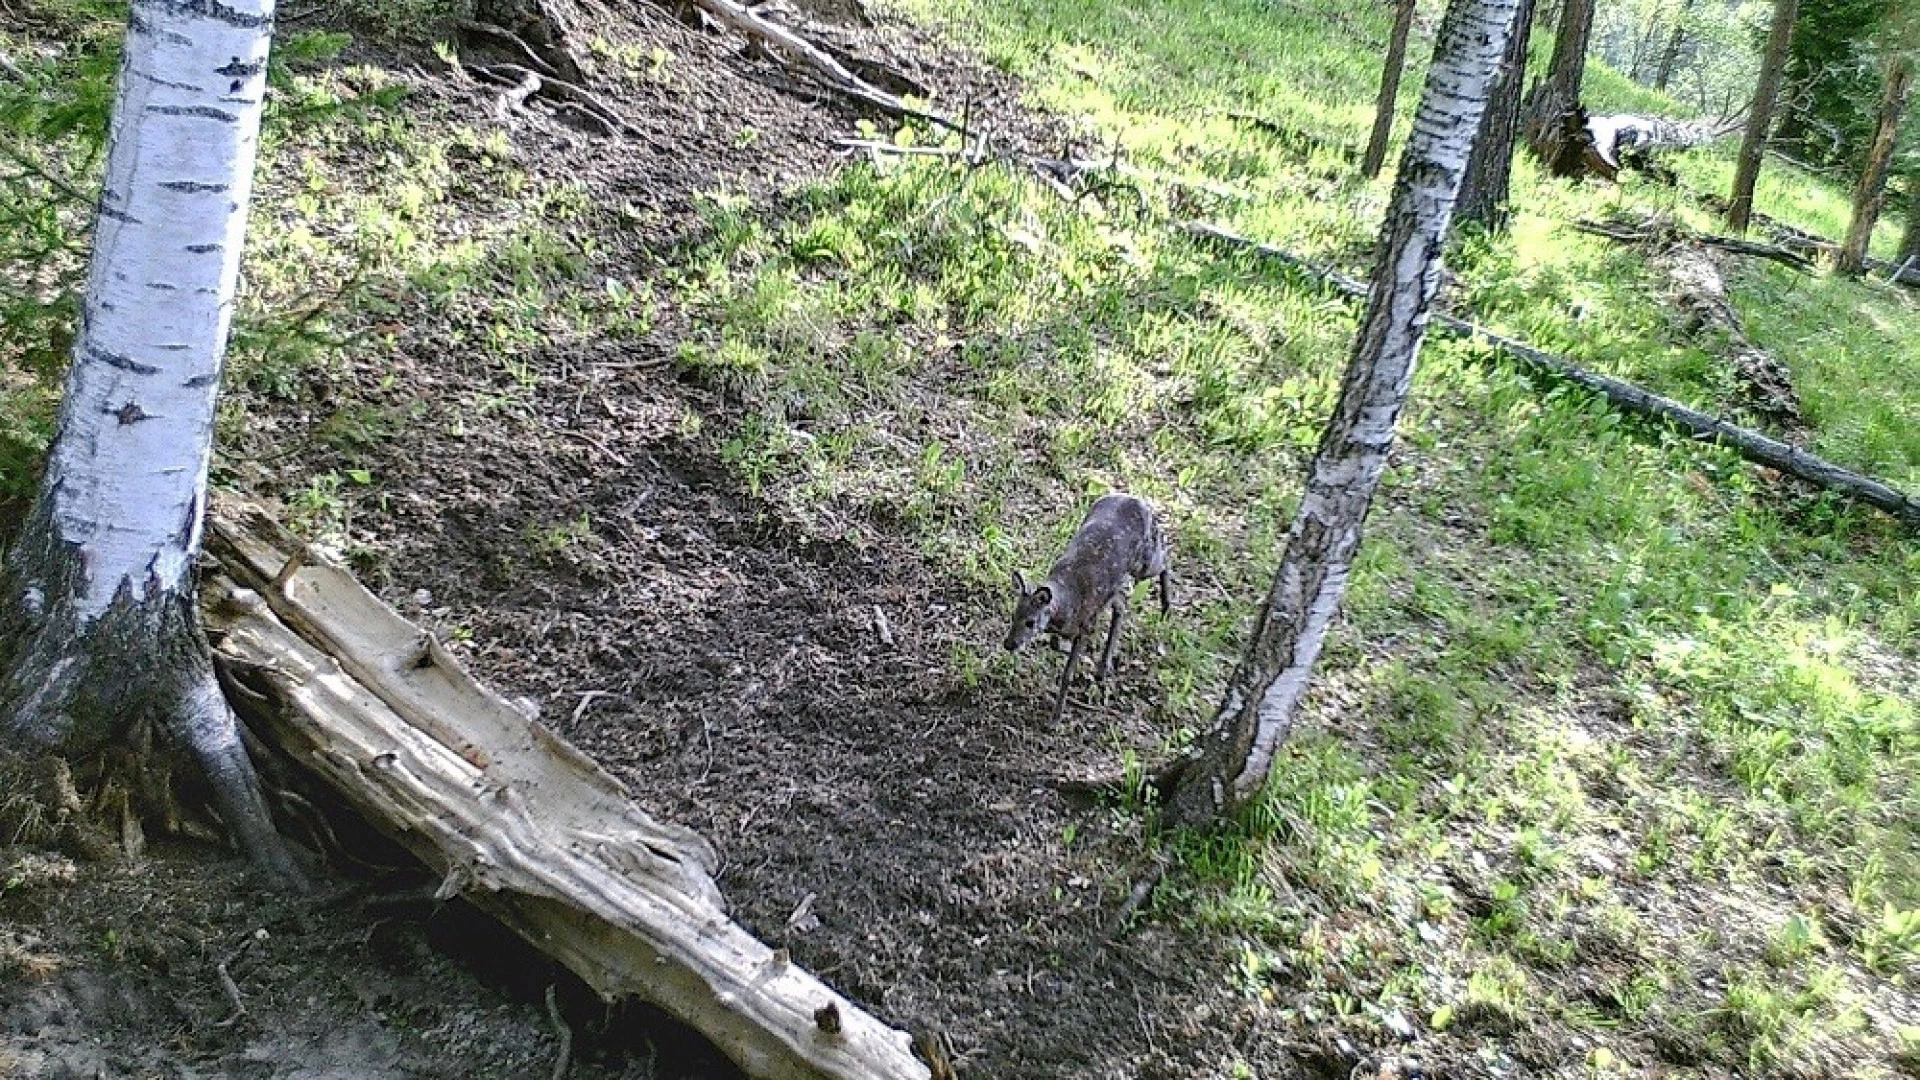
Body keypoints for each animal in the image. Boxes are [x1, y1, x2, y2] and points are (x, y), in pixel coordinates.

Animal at [1006, 495, 1167, 722]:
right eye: (1014, 615)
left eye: (1030, 622)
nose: (1009, 644)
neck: (1068, 603)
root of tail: (1138, 500)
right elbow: (1055, 643)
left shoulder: (1086, 625)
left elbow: (1067, 675)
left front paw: (1055, 719)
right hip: (1119, 582)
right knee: (1121, 605)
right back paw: (1103, 667)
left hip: (1144, 563)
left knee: (1164, 560)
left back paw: (1166, 606)